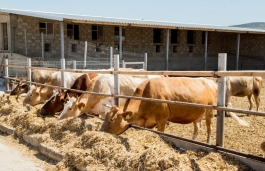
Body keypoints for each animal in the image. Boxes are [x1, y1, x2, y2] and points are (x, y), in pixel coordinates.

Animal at [99, 77, 248, 144]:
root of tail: (210, 81)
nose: (100, 131)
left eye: (111, 119)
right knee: (197, 128)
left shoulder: (162, 119)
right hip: (197, 114)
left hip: (209, 112)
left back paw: (207, 142)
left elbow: (161, 133)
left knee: (209, 129)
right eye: (105, 117)